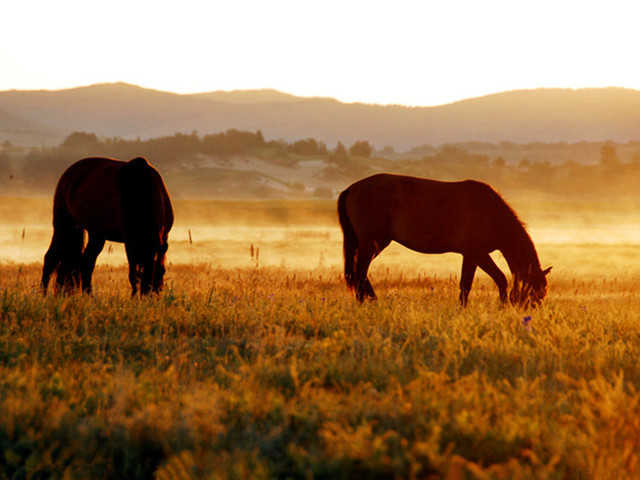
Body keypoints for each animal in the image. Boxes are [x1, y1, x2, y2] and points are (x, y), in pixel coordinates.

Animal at [41, 157, 174, 296]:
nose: (150, 295)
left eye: (161, 272)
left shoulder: (163, 238)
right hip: (63, 225)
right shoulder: (130, 243)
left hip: (96, 235)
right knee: (50, 258)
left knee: (86, 263)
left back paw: (88, 296)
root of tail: (68, 173)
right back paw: (43, 295)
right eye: (142, 274)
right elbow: (132, 274)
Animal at [338, 174, 552, 306]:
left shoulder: (470, 255)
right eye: (535, 292)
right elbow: (500, 279)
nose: (528, 314)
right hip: (370, 243)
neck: (490, 212)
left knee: (360, 272)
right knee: (360, 273)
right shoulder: (478, 253)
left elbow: (466, 285)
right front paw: (502, 306)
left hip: (376, 243)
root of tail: (351, 189)